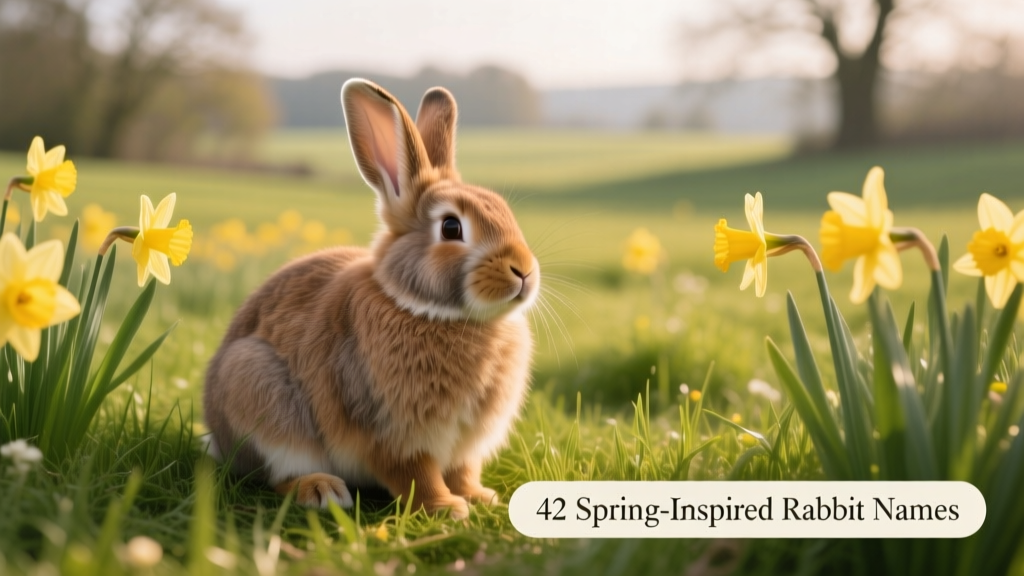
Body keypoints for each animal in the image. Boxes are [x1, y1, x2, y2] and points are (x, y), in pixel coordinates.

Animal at [203, 79, 540, 520]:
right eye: (451, 227)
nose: (525, 271)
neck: (432, 312)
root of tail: (218, 435)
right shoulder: (390, 432)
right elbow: (416, 474)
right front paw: (446, 508)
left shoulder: (465, 445)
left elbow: (463, 470)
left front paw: (480, 497)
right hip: (257, 387)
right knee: (279, 474)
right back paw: (322, 490)